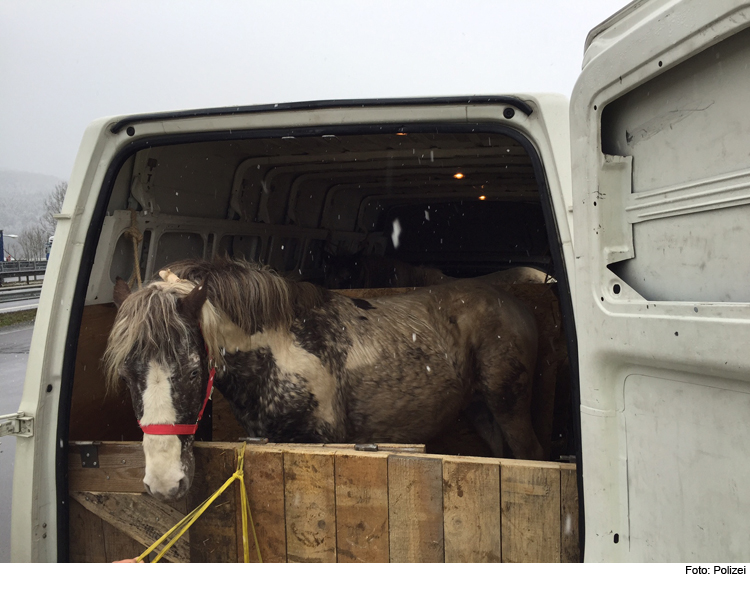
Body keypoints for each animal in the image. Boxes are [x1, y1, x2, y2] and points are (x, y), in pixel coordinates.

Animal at [104, 258, 540, 500]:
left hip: (513, 410)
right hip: (481, 410)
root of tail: (514, 304)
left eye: (194, 369)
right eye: (126, 375)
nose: (164, 483)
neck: (282, 352)